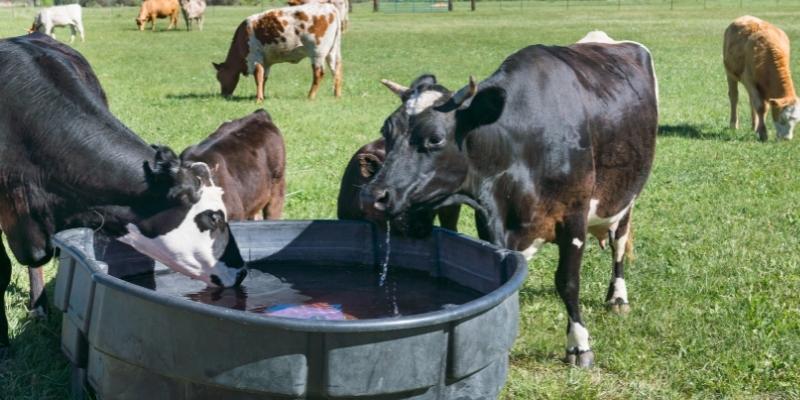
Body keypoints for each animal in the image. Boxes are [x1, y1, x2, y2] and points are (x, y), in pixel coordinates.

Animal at [211, 2, 342, 102]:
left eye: (219, 77)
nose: (223, 95)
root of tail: (329, 6)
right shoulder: (266, 62)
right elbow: (263, 78)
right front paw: (260, 95)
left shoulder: (254, 57)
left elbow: (258, 76)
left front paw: (258, 99)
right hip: (333, 51)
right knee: (336, 70)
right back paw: (337, 96)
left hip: (317, 52)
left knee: (318, 73)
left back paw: (310, 96)